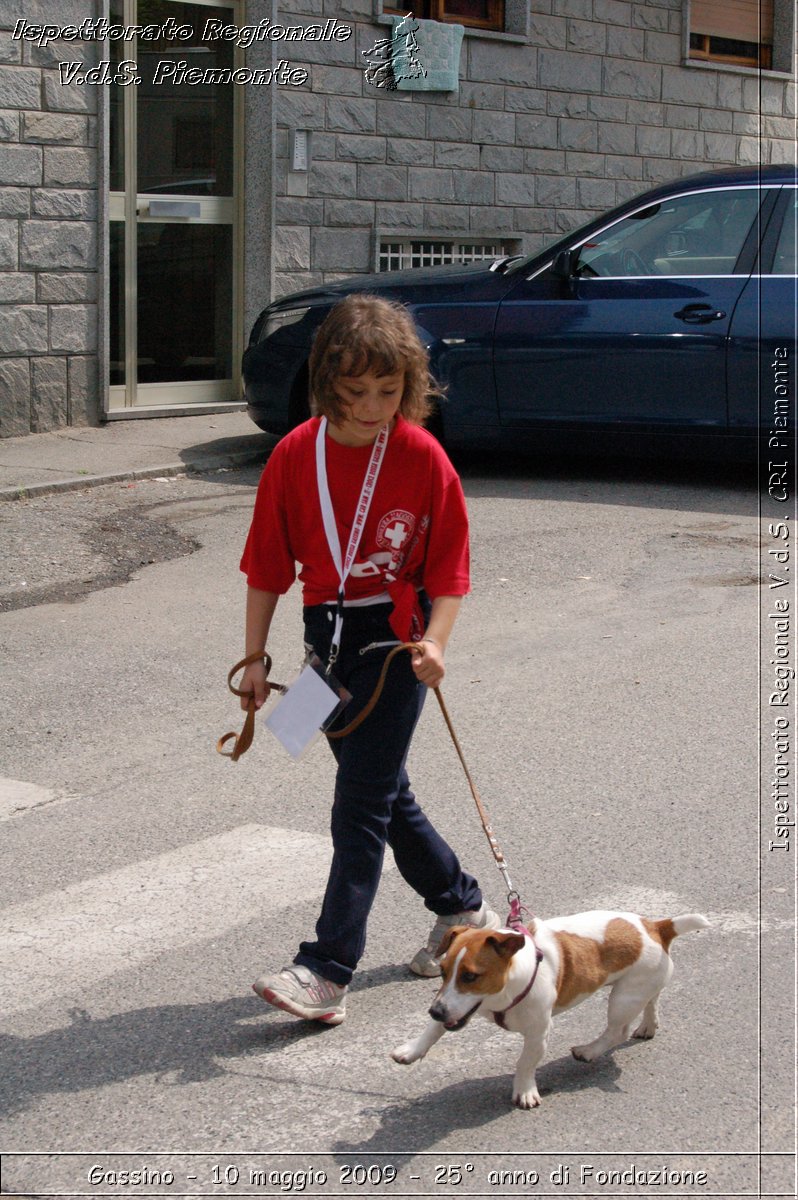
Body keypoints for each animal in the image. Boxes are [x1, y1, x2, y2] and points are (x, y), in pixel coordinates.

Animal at [388, 907, 705, 1113]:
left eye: (470, 976)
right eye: (442, 971)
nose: (435, 1011)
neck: (502, 992)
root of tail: (657, 926)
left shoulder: (538, 1033)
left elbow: (525, 1063)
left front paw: (525, 1092)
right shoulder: (453, 1005)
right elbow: (433, 1031)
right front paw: (411, 1050)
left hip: (623, 999)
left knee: (617, 1031)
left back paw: (589, 1050)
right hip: (641, 986)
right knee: (653, 999)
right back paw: (648, 1026)